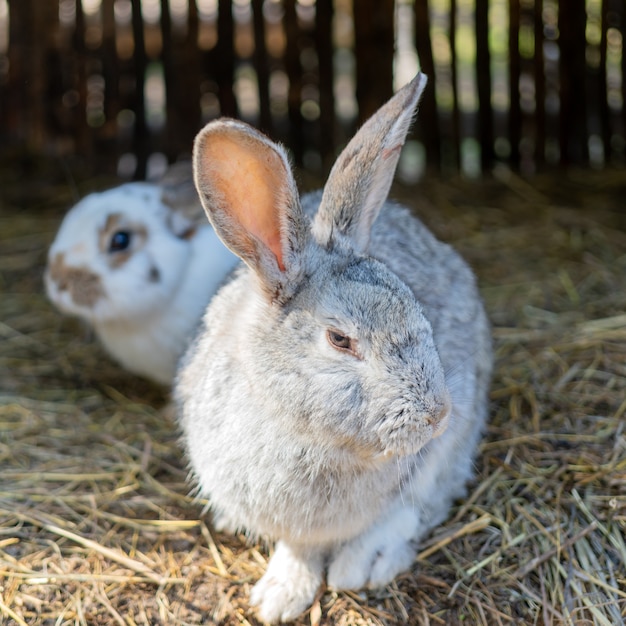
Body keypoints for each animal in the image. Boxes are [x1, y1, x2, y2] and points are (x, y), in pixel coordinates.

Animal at [173, 73, 490, 620]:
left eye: (415, 305)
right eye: (340, 339)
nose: (437, 415)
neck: (313, 436)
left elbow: (405, 511)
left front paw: (354, 567)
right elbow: (297, 547)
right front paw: (280, 598)